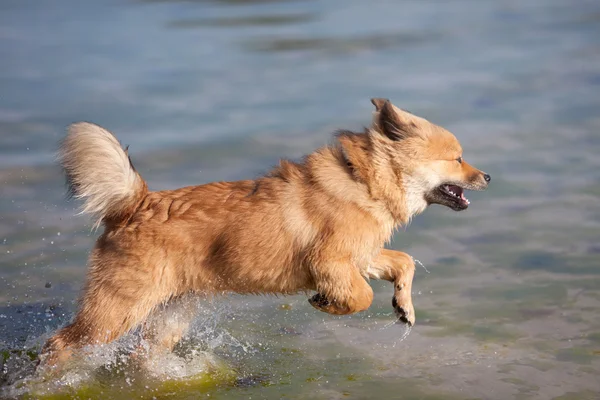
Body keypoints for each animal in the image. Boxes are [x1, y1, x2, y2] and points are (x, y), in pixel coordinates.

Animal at [39, 99, 490, 366]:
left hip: (169, 314)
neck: (365, 182)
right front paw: (325, 304)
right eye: (458, 158)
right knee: (59, 344)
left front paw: (404, 306)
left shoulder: (361, 256)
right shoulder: (331, 261)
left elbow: (404, 262)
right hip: (117, 310)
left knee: (141, 355)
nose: (487, 176)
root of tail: (136, 202)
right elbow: (360, 297)